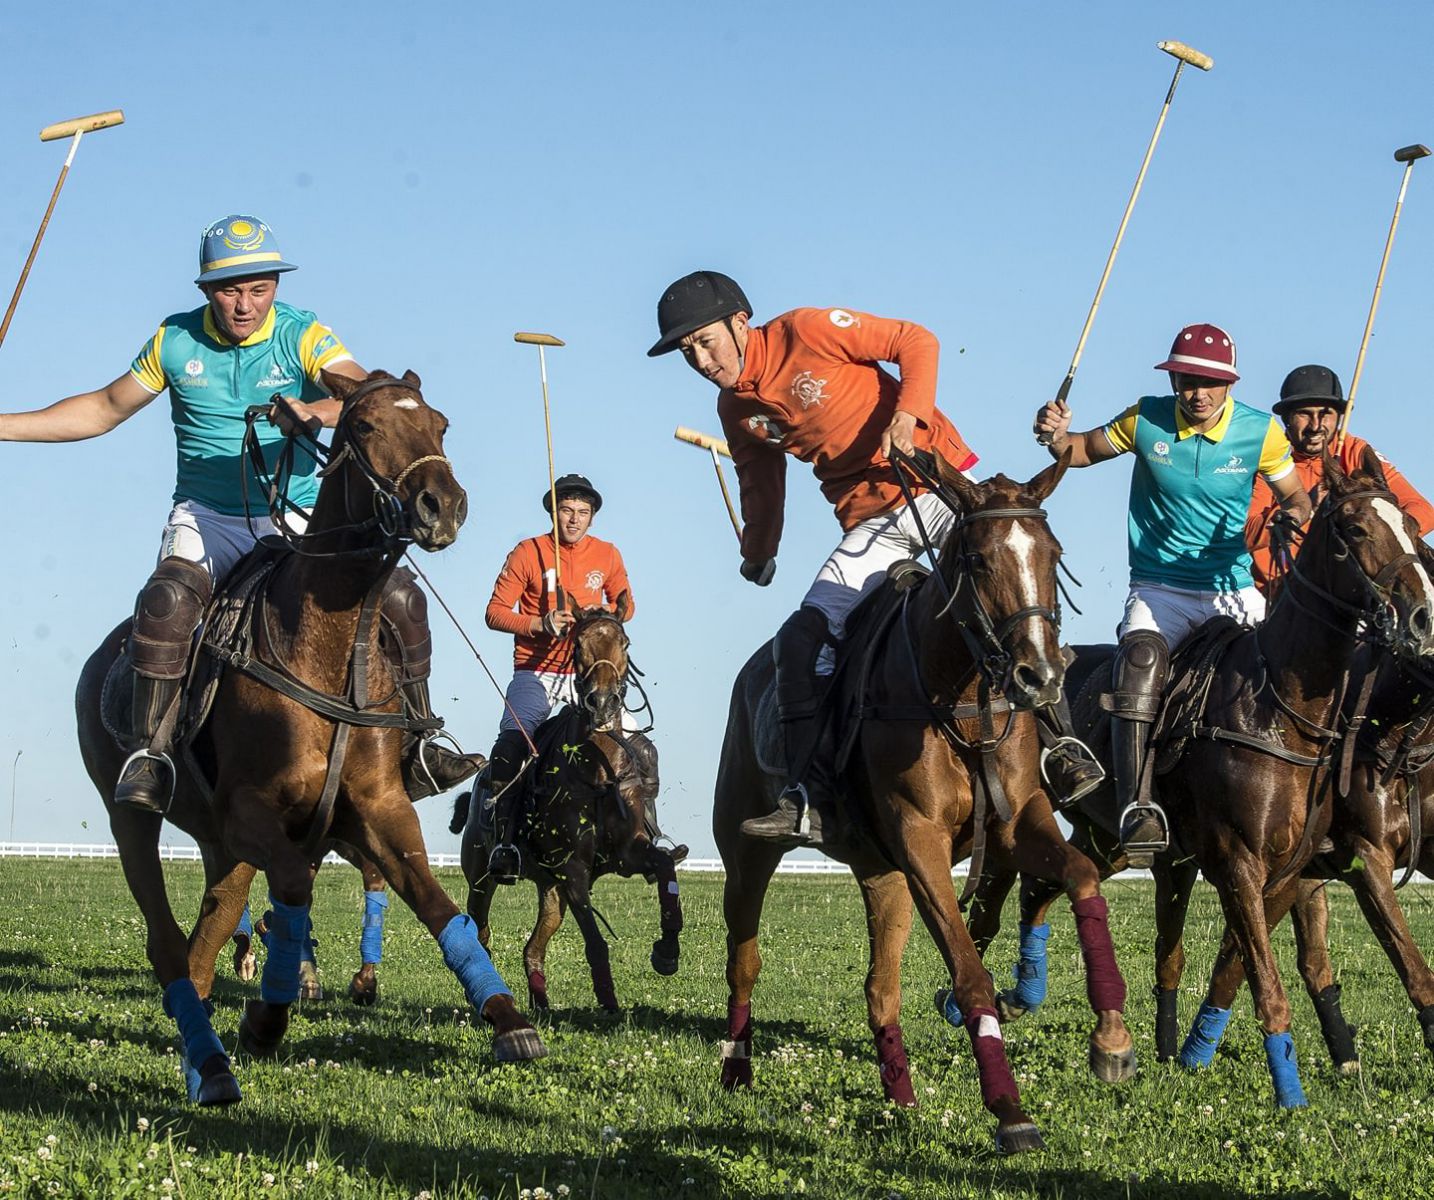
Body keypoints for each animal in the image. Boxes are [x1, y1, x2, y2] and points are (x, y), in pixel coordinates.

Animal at [79, 367, 547, 1106]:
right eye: (364, 426)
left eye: (440, 424)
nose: (442, 506)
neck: (326, 647)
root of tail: (104, 655)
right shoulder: (249, 811)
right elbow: (294, 888)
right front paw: (267, 1017)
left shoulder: (379, 807)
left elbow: (439, 905)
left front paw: (509, 1021)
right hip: (131, 813)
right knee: (167, 934)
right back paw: (210, 1054)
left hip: (218, 839)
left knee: (215, 919)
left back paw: (203, 1043)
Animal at [458, 599, 682, 1009]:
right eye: (577, 645)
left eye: (625, 643)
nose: (603, 703)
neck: (595, 773)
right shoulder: (572, 868)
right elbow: (595, 941)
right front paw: (608, 1003)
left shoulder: (626, 854)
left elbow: (663, 867)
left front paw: (667, 950)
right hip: (482, 875)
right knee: (480, 931)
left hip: (549, 889)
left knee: (532, 947)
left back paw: (541, 1003)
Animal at [711, 455, 1135, 1152]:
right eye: (979, 560)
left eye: (1053, 555)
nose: (1041, 677)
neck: (959, 694)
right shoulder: (920, 841)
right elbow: (968, 970)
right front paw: (1009, 1109)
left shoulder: (1018, 820)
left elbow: (1080, 876)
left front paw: (1112, 1036)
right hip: (746, 852)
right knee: (744, 961)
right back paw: (737, 1070)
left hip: (881, 872)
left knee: (879, 988)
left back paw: (901, 1097)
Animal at [975, 450, 1434, 1106]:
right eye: (1354, 530)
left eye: (1413, 530)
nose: (1421, 618)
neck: (1283, 712)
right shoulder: (1251, 861)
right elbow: (1266, 981)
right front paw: (1289, 1093)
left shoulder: (1292, 868)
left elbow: (1240, 967)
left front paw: (1194, 1053)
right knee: (996, 889)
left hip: (1109, 840)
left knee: (1043, 886)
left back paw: (1026, 993)